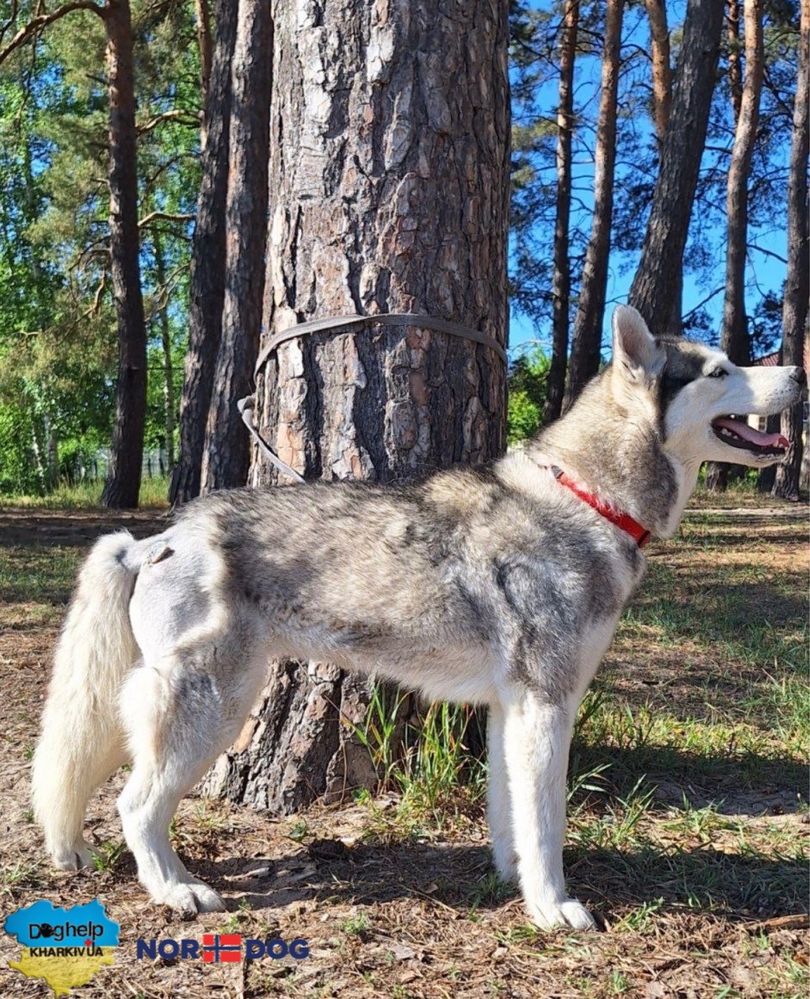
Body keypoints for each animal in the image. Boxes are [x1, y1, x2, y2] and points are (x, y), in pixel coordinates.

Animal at [31, 306, 800, 928]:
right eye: (722, 369)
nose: (797, 370)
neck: (586, 498)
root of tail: (156, 538)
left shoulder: (513, 711)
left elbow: (513, 818)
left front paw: (517, 885)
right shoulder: (549, 705)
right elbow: (547, 824)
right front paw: (555, 908)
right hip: (213, 709)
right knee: (135, 806)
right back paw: (175, 890)